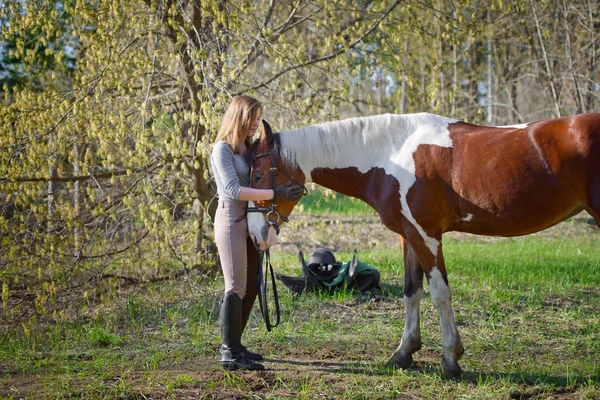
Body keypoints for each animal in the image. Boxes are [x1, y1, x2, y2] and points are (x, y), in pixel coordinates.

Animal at [245, 112, 600, 378]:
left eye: (259, 175)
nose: (254, 233)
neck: (391, 155)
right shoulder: (409, 235)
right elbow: (411, 290)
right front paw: (404, 354)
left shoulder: (426, 235)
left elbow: (440, 293)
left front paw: (451, 360)